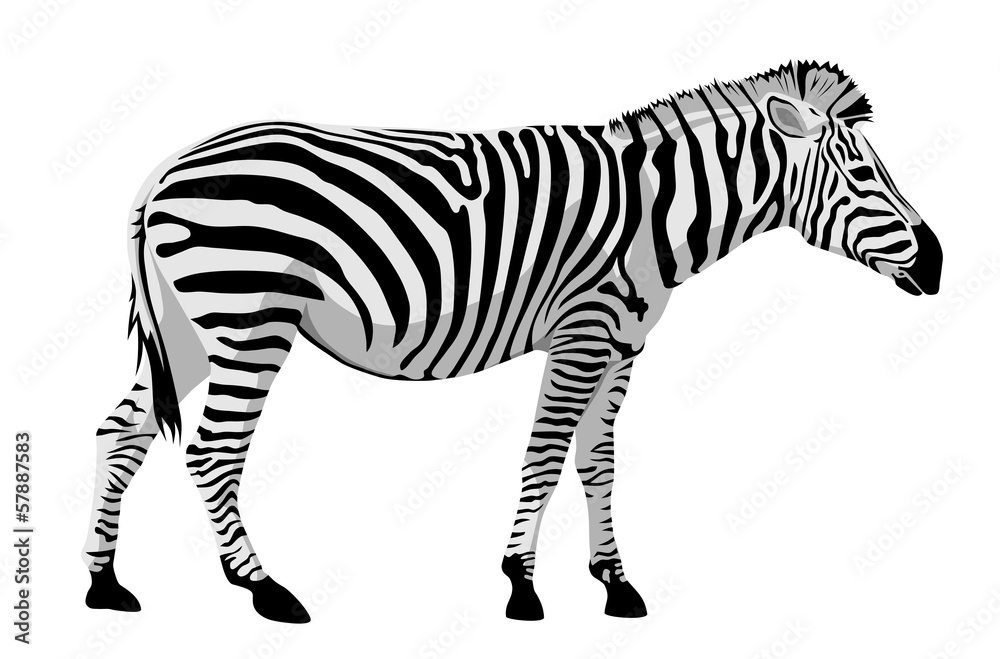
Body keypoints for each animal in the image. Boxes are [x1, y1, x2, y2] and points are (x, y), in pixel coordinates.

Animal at [83, 61, 942, 623]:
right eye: (864, 176)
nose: (937, 263)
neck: (654, 209)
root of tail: (164, 169)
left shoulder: (623, 343)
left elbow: (598, 460)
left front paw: (614, 582)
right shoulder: (582, 331)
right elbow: (546, 453)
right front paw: (522, 584)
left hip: (190, 330)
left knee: (119, 430)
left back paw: (104, 581)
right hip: (248, 318)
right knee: (213, 449)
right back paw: (262, 586)